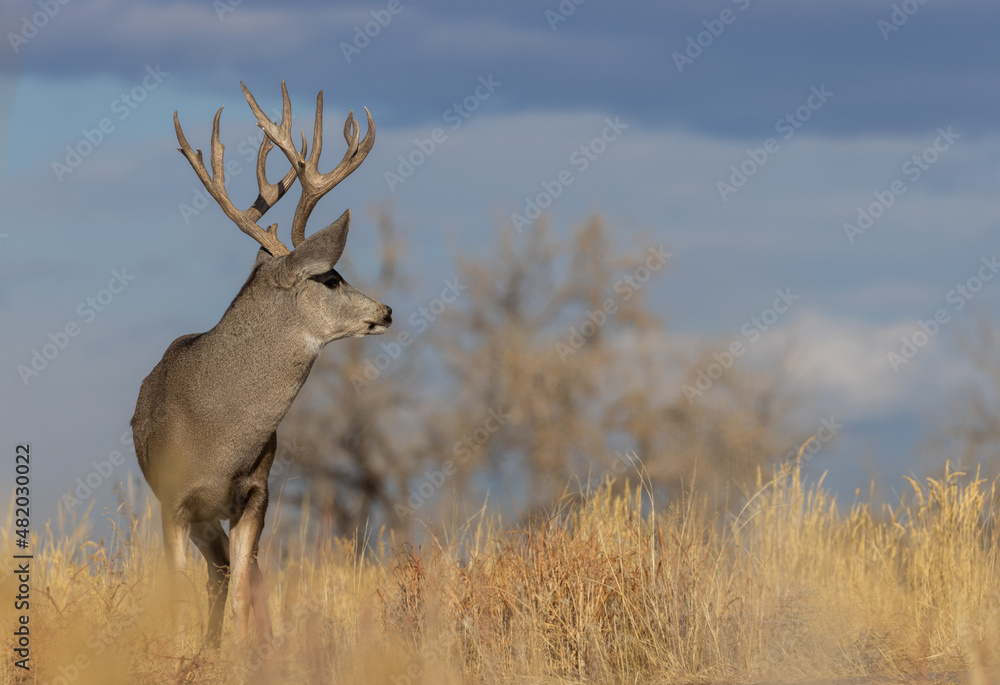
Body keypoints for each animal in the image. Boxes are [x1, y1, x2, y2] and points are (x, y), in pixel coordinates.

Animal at [131, 81, 390, 653]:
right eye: (331, 277)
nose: (386, 311)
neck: (217, 433)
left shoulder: (256, 494)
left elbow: (248, 588)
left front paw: (249, 654)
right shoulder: (172, 500)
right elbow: (176, 592)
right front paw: (180, 657)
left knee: (233, 573)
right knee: (215, 571)